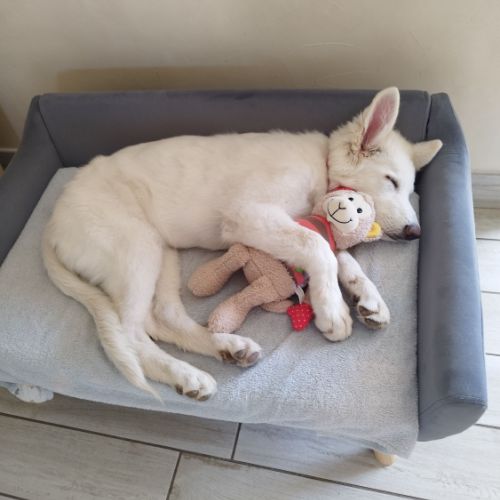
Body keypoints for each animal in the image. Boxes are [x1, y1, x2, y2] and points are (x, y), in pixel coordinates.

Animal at [42, 87, 442, 400]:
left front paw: (368, 299)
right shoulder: (248, 214)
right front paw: (333, 311)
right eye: (391, 181)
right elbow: (319, 247)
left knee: (161, 318)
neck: (322, 165)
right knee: (128, 331)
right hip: (135, 247)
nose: (415, 232)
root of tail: (52, 222)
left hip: (162, 252)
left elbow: (340, 255)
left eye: (409, 188)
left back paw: (226, 349)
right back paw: (185, 373)